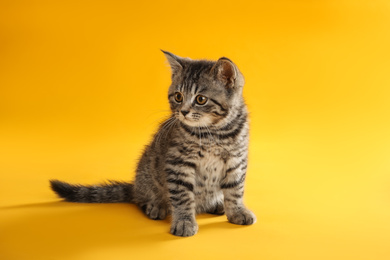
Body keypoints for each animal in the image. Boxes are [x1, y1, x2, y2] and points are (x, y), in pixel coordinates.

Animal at [49, 50, 256, 236]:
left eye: (201, 99)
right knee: (143, 198)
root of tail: (135, 186)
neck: (214, 133)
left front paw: (237, 211)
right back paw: (155, 206)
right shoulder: (178, 162)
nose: (183, 112)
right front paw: (184, 221)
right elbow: (182, 196)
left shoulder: (236, 161)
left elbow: (235, 189)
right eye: (178, 96)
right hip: (148, 174)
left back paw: (217, 204)